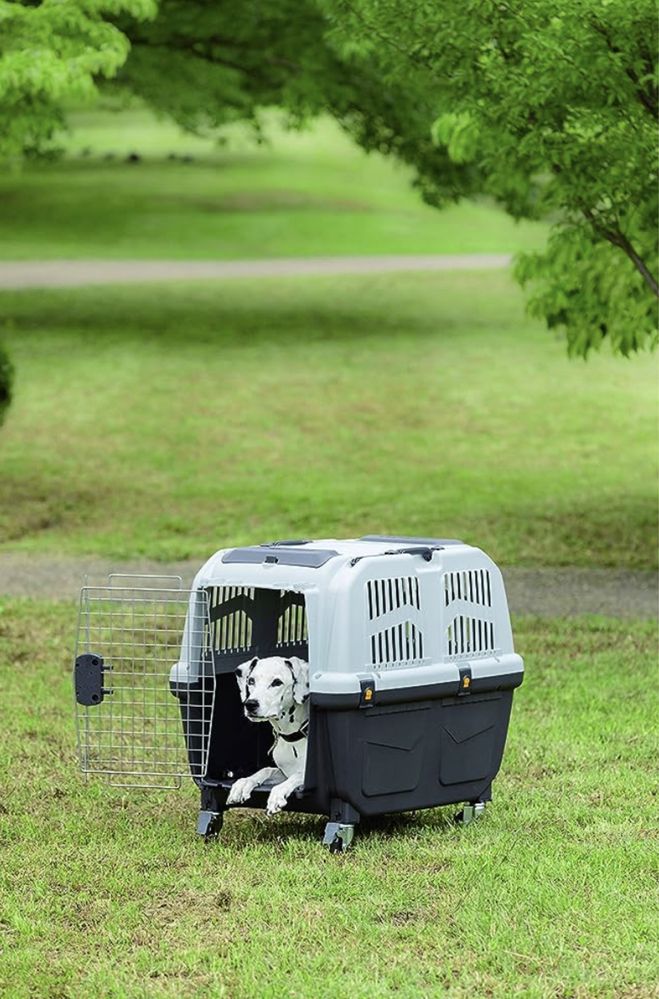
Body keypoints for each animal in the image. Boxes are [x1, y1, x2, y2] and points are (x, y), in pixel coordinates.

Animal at [227, 660, 310, 816]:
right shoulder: (283, 772)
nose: (250, 704)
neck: (292, 739)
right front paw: (244, 782)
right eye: (251, 681)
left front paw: (277, 794)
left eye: (277, 682)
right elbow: (266, 770)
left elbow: (297, 775)